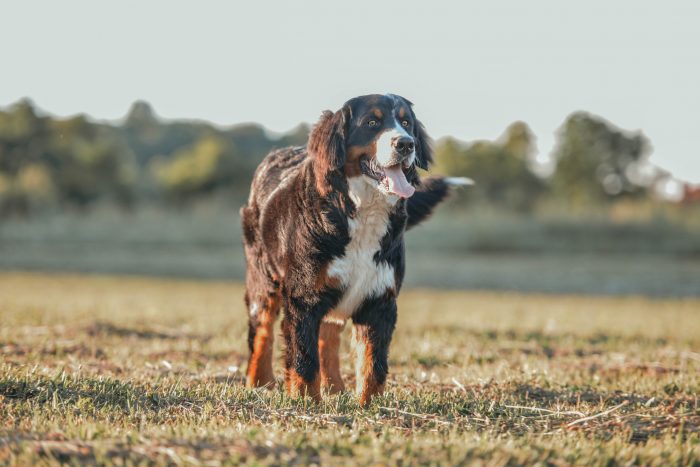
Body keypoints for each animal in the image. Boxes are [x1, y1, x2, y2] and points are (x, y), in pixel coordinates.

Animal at [242, 94, 470, 406]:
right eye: (372, 122)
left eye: (406, 122)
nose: (406, 143)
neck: (363, 212)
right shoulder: (304, 297)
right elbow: (304, 358)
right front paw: (306, 402)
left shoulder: (379, 299)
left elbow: (373, 363)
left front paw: (370, 406)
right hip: (263, 279)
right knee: (261, 331)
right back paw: (260, 382)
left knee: (327, 336)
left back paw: (334, 388)